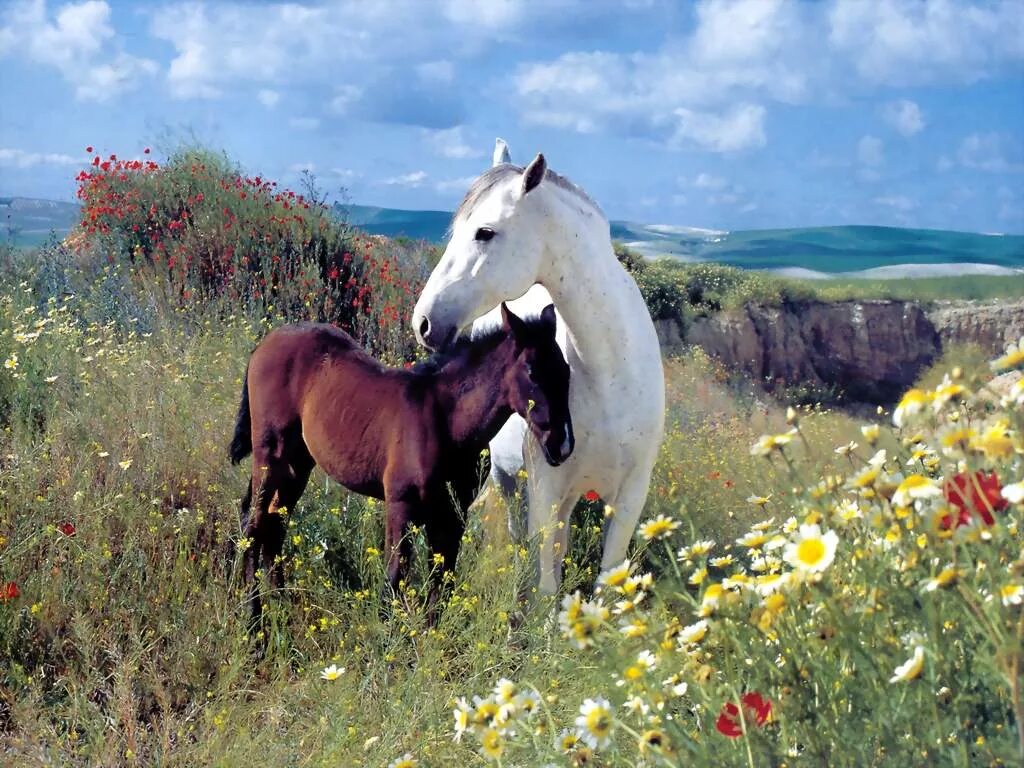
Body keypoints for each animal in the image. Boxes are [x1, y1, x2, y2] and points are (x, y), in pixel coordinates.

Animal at [227, 303, 573, 622]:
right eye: (532, 371)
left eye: (567, 371)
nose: (563, 444)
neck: (448, 421)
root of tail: (266, 342)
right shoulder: (401, 504)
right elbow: (394, 578)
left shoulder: (452, 515)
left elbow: (442, 583)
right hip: (270, 455)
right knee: (253, 521)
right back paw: (253, 617)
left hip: (298, 462)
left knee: (275, 520)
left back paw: (281, 604)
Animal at [411, 140, 667, 593]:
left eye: (485, 232)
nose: (423, 322)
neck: (609, 378)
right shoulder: (545, 490)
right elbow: (546, 586)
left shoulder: (630, 497)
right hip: (511, 482)